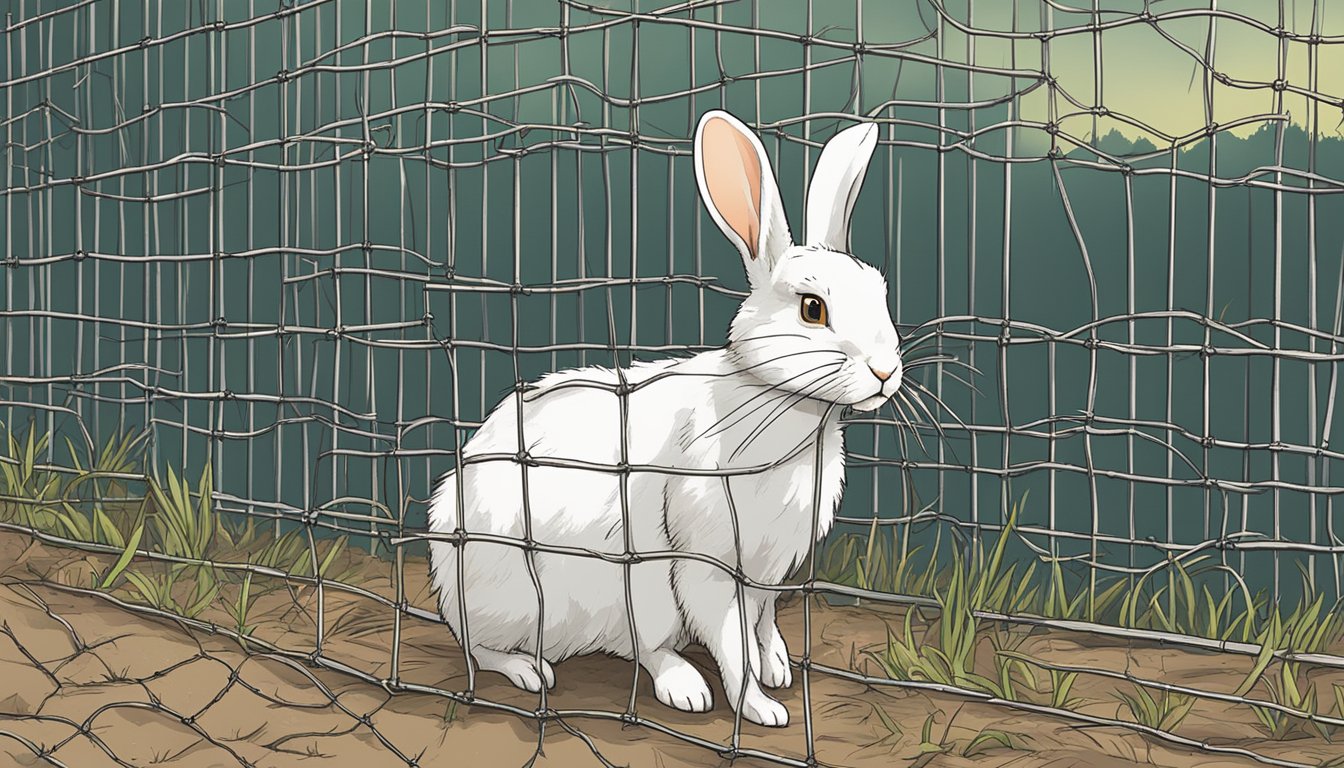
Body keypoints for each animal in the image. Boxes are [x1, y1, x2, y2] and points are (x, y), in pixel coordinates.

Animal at [428, 109, 902, 727]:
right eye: (812, 308)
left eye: (882, 294)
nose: (886, 371)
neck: (776, 404)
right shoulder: (709, 565)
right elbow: (732, 642)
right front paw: (761, 707)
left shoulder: (767, 575)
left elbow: (762, 623)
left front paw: (777, 667)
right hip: (539, 593)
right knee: (488, 647)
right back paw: (567, 676)